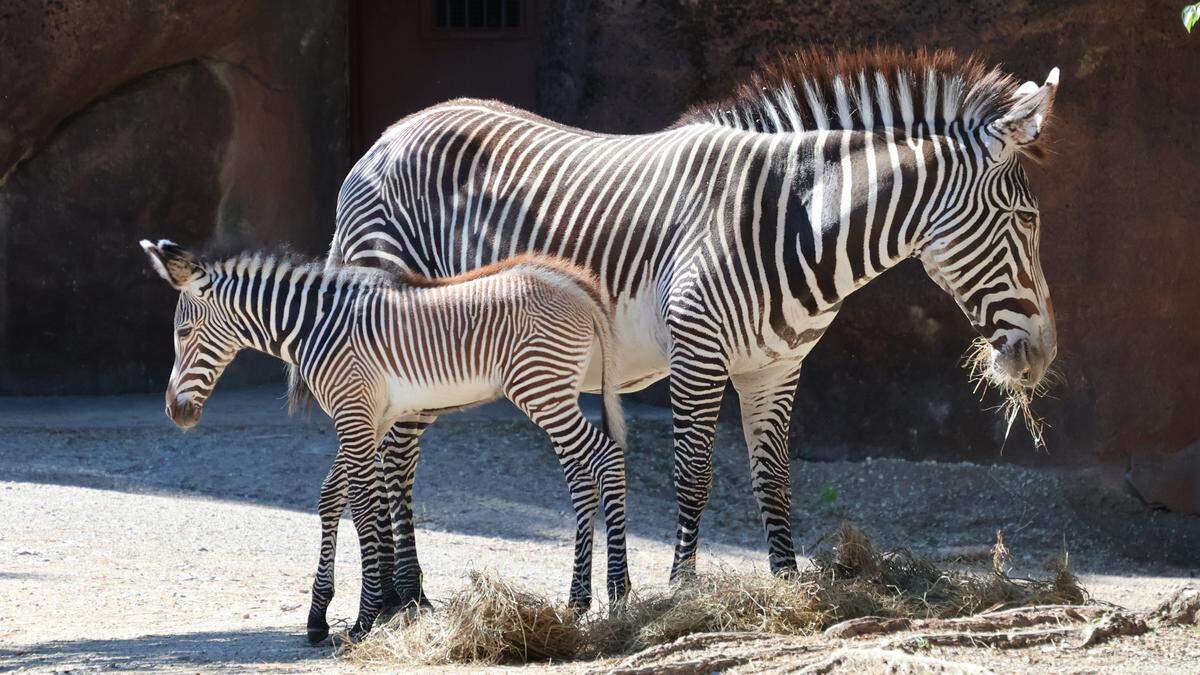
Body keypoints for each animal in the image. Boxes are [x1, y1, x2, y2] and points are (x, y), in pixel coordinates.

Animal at [139, 240, 630, 642]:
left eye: (182, 333)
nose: (174, 413)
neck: (314, 327)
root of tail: (575, 286)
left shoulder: (352, 412)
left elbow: (360, 503)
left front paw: (365, 618)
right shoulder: (369, 417)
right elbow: (331, 496)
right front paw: (318, 616)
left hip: (540, 388)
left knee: (607, 457)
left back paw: (619, 593)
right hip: (554, 392)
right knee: (585, 475)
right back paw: (579, 600)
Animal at [312, 46, 1060, 592]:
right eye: (1025, 219)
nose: (1044, 355)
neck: (796, 220)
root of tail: (386, 137)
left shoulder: (775, 367)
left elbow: (774, 476)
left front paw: (787, 585)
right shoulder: (698, 350)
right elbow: (693, 474)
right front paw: (682, 587)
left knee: (398, 454)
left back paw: (407, 595)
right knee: (391, 456)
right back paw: (396, 600)